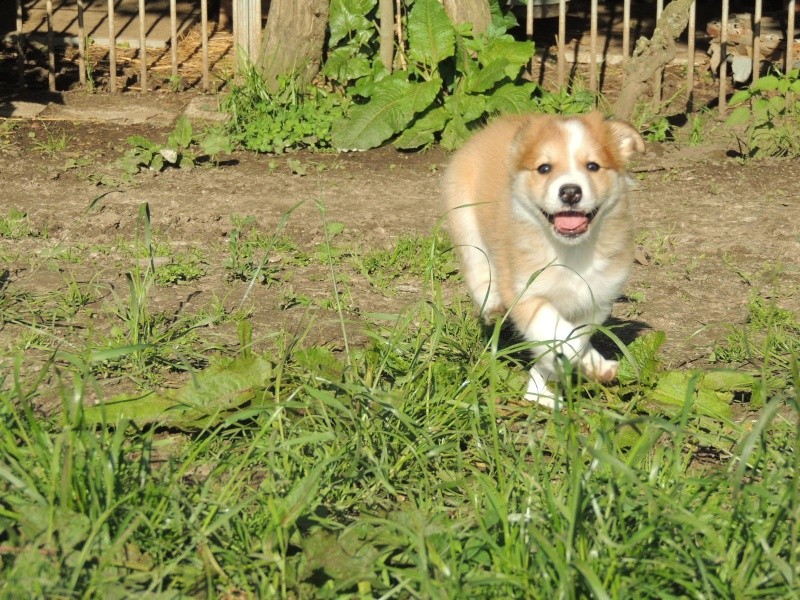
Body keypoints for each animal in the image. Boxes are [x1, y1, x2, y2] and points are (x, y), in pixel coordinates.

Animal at [440, 111, 648, 408]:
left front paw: (550, 386)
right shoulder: (526, 292)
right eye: (544, 168)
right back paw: (491, 303)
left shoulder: (594, 299)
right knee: (477, 265)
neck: (570, 251)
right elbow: (554, 330)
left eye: (593, 166)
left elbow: (573, 335)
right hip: (464, 217)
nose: (570, 191)